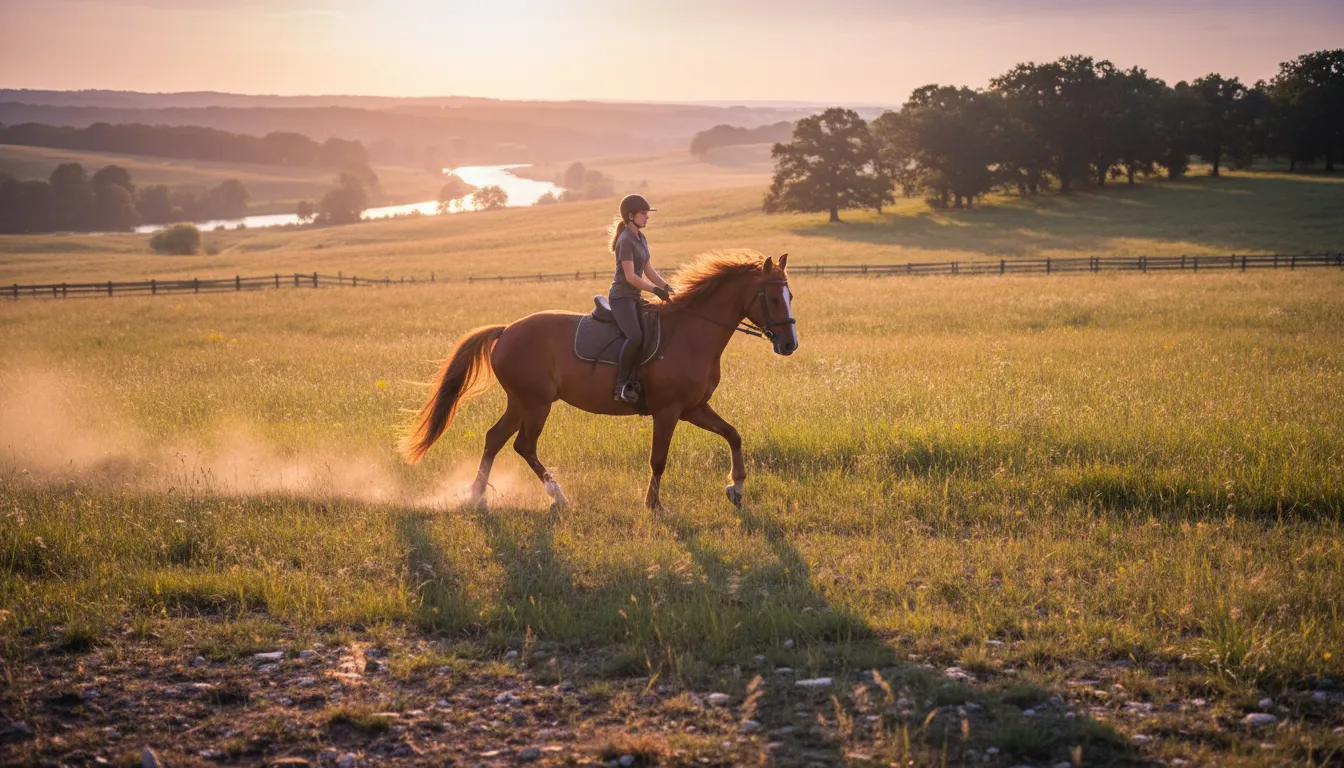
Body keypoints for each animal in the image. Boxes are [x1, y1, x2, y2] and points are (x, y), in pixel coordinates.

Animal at [401, 250, 798, 512]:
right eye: (773, 297)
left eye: (790, 295)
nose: (789, 345)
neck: (691, 332)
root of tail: (507, 330)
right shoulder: (668, 411)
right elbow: (658, 459)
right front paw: (654, 505)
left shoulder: (694, 408)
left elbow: (733, 434)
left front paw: (736, 487)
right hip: (535, 403)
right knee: (523, 445)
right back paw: (557, 496)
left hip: (521, 402)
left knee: (495, 439)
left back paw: (476, 495)